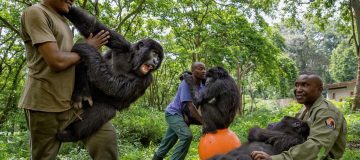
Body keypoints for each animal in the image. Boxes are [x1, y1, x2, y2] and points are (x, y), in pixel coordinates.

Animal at [57, 6, 164, 142]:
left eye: (159, 57)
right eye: (154, 53)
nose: (156, 61)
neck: (133, 62)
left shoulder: (147, 79)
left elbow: (114, 87)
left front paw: (86, 48)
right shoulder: (122, 44)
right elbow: (94, 27)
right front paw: (66, 8)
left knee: (106, 110)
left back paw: (72, 133)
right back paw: (81, 93)